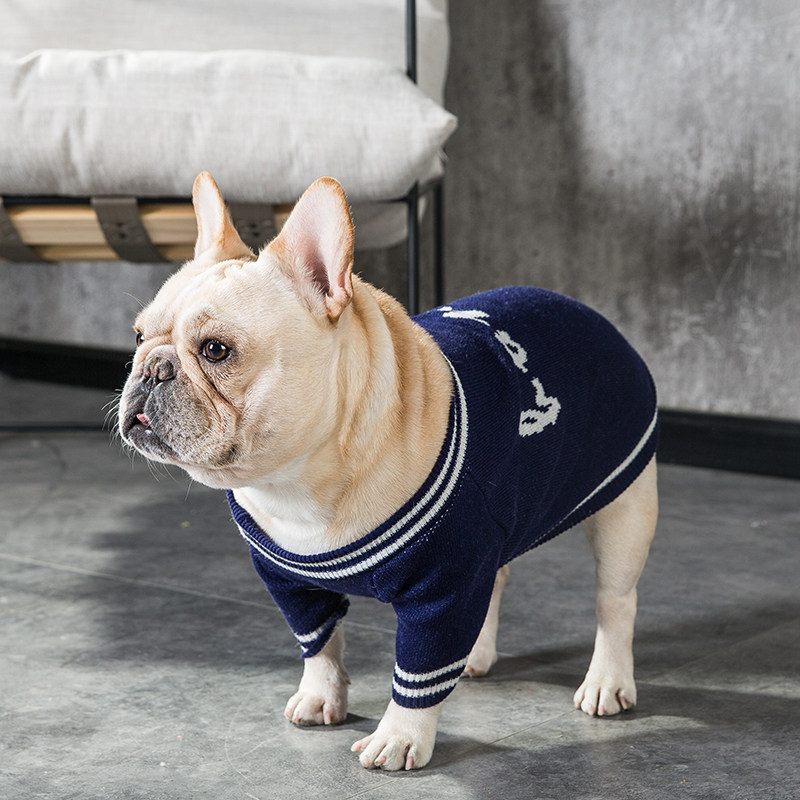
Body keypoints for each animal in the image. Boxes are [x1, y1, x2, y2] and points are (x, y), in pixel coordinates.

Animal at [118, 172, 659, 771]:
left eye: (216, 350)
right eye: (139, 337)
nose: (151, 369)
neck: (301, 483)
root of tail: (593, 315)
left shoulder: (441, 592)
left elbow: (418, 674)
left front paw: (400, 738)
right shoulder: (293, 587)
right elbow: (320, 646)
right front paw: (320, 697)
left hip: (624, 509)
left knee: (616, 602)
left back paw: (608, 680)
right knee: (495, 579)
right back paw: (477, 655)